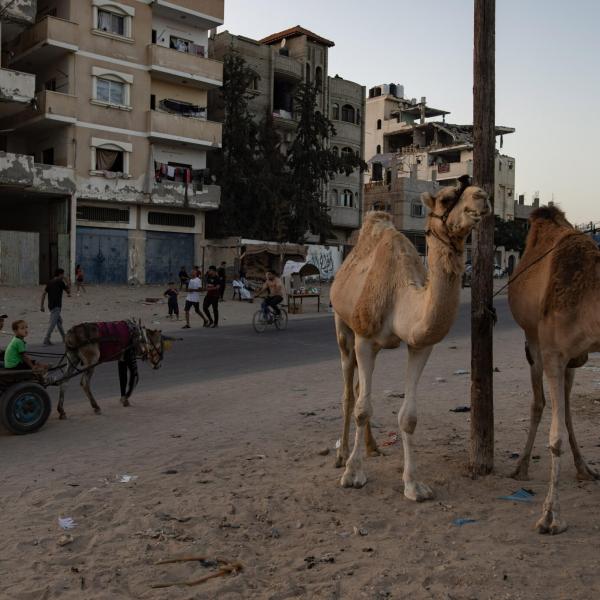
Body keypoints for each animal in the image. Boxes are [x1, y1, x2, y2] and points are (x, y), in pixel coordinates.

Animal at [330, 176, 490, 500]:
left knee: (360, 388)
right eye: (447, 197)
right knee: (349, 392)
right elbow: (362, 408)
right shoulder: (365, 338)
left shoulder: (419, 345)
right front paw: (353, 473)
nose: (482, 196)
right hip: (343, 326)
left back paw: (372, 448)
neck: (400, 297)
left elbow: (409, 417)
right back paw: (342, 456)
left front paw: (414, 484)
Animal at [506, 206, 600, 536]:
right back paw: (520, 467)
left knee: (566, 408)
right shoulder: (552, 353)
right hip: (535, 343)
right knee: (539, 403)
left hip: (571, 358)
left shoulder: (572, 355)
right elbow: (554, 438)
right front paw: (550, 516)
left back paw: (584, 468)